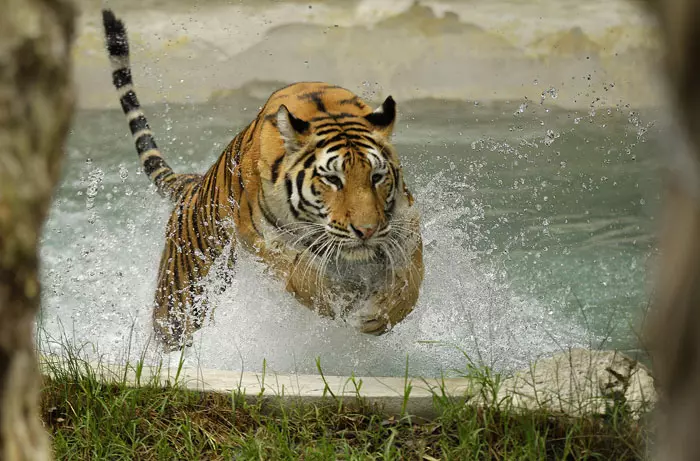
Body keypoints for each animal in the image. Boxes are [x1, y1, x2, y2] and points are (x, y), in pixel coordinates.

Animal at [100, 9, 424, 348]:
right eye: (333, 180)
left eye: (377, 177)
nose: (366, 231)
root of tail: (193, 185)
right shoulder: (262, 240)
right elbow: (301, 276)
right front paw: (336, 300)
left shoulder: (405, 225)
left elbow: (410, 281)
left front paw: (379, 313)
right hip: (180, 300)